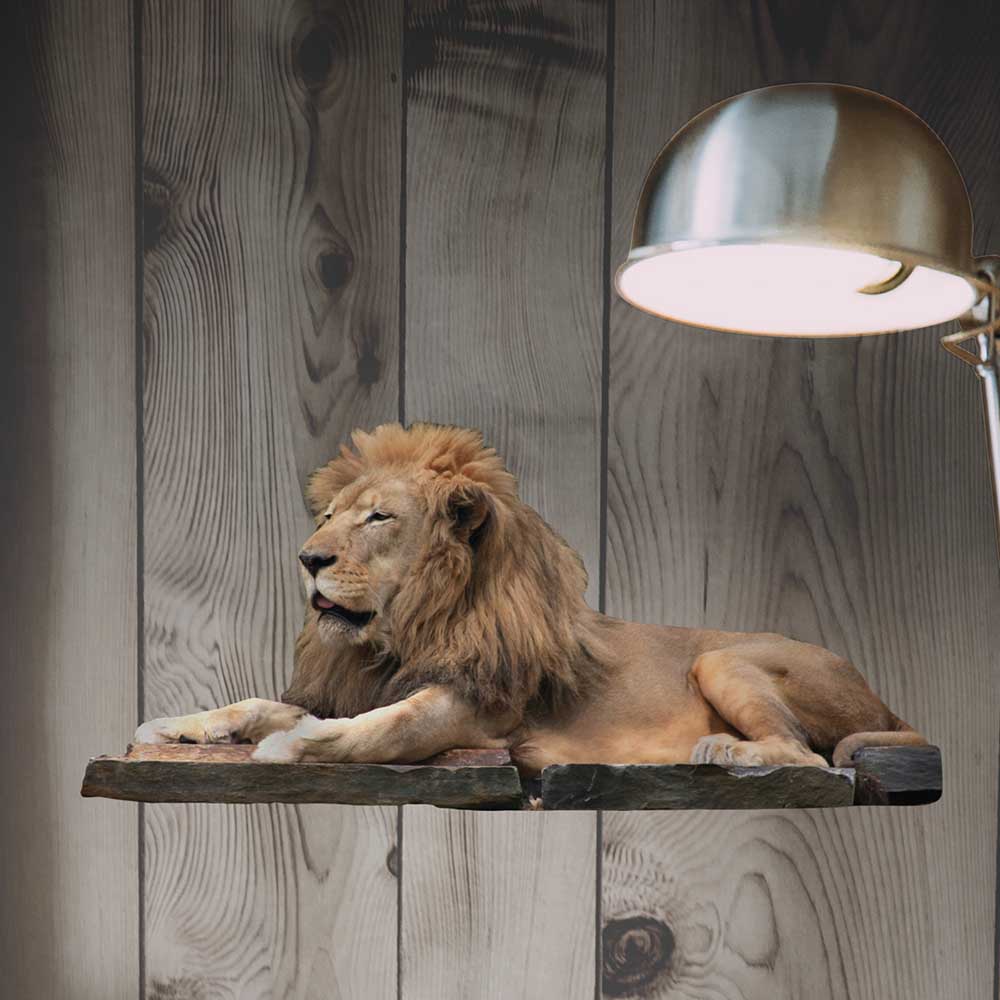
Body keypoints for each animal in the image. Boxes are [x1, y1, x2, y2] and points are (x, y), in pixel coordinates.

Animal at [135, 422, 927, 774]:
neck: (405, 633)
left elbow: (381, 728)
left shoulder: (475, 710)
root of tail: (884, 702)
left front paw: (293, 744)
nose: (308, 559)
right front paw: (179, 725)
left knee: (807, 757)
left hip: (723, 661)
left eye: (379, 518)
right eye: (326, 517)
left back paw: (723, 749)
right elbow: (255, 703)